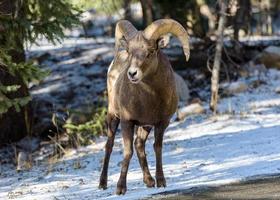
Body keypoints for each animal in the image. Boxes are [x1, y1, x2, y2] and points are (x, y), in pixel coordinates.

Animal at [99, 18, 190, 194]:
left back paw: (149, 181)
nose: (132, 74)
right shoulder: (127, 122)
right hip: (113, 117)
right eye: (129, 51)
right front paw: (120, 188)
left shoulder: (161, 123)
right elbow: (127, 152)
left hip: (144, 126)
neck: (150, 98)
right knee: (109, 146)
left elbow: (157, 147)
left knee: (139, 144)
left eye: (150, 52)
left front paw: (161, 181)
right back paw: (102, 184)